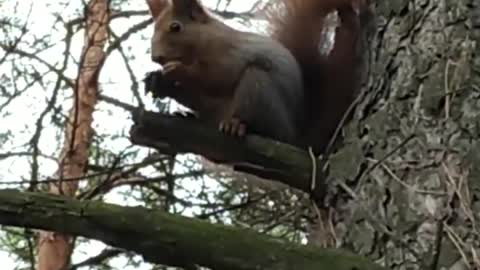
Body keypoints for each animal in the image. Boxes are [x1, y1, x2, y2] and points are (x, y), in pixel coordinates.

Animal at [144, 0, 366, 155]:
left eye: (176, 27)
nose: (156, 57)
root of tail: (296, 138)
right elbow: (196, 95)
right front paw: (158, 81)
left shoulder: (231, 54)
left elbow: (217, 77)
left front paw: (178, 70)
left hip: (258, 88)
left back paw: (237, 125)